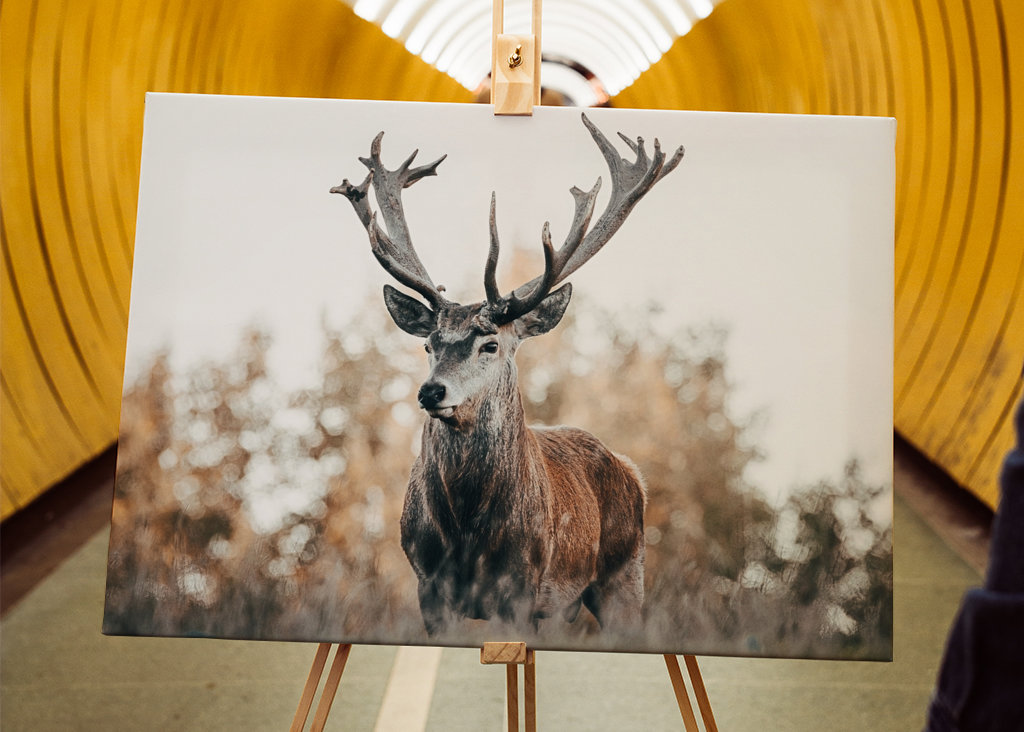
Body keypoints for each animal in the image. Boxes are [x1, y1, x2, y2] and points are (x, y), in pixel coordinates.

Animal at [331, 113, 684, 637]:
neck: (466, 533)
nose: (431, 391)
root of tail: (632, 472)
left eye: (491, 344)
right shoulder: (428, 585)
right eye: (428, 344)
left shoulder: (521, 588)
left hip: (625, 575)